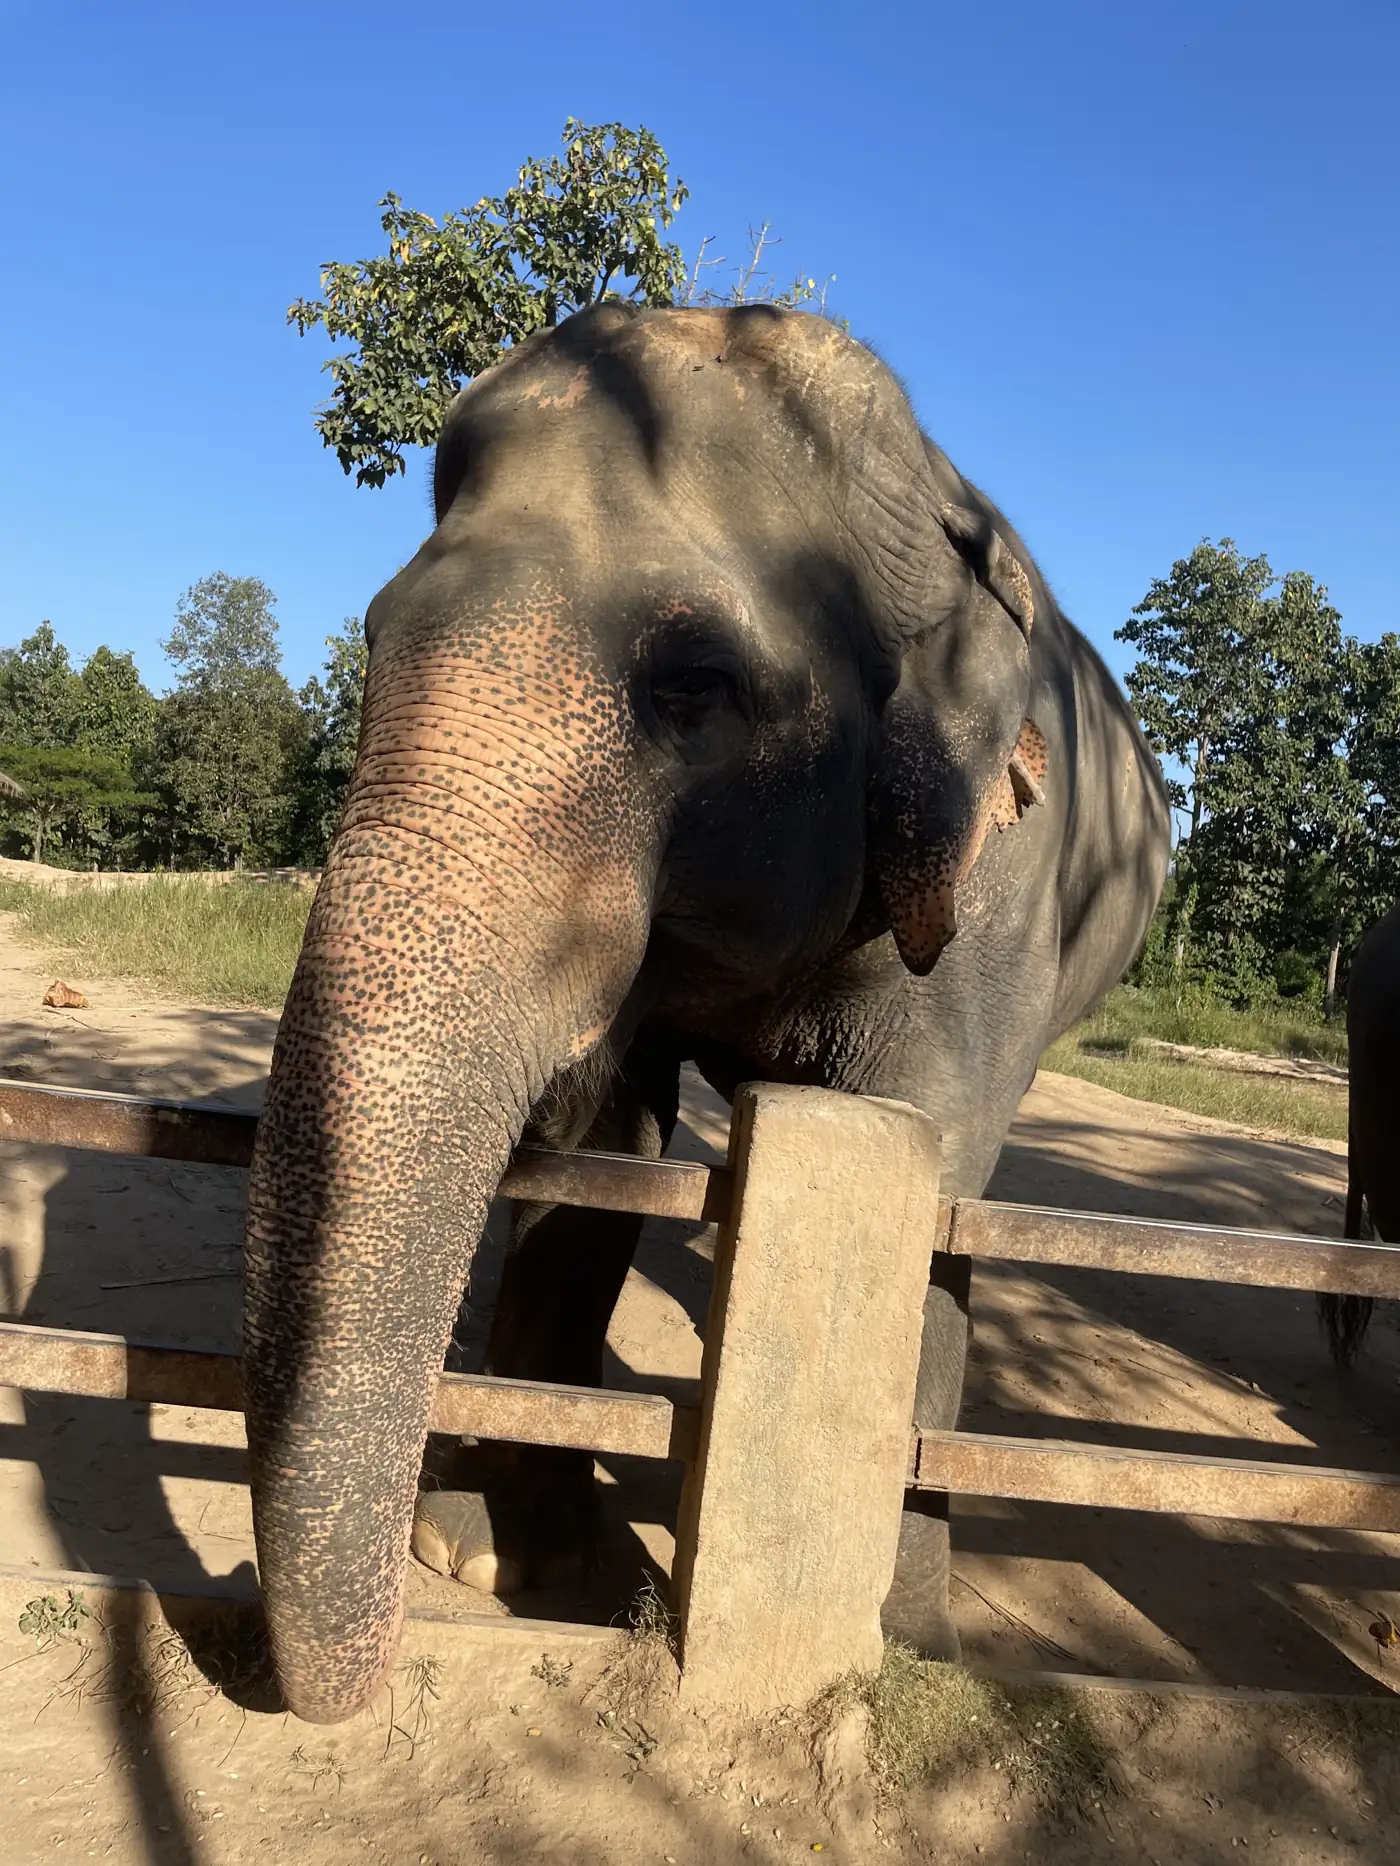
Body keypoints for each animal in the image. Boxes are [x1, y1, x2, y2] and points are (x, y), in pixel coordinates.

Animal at [242, 303, 1171, 1724]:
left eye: (692, 683)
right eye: (378, 632)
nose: (370, 1688)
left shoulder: (993, 912)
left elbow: (924, 1164)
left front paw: (902, 1639)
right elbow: (597, 1145)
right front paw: (499, 1558)